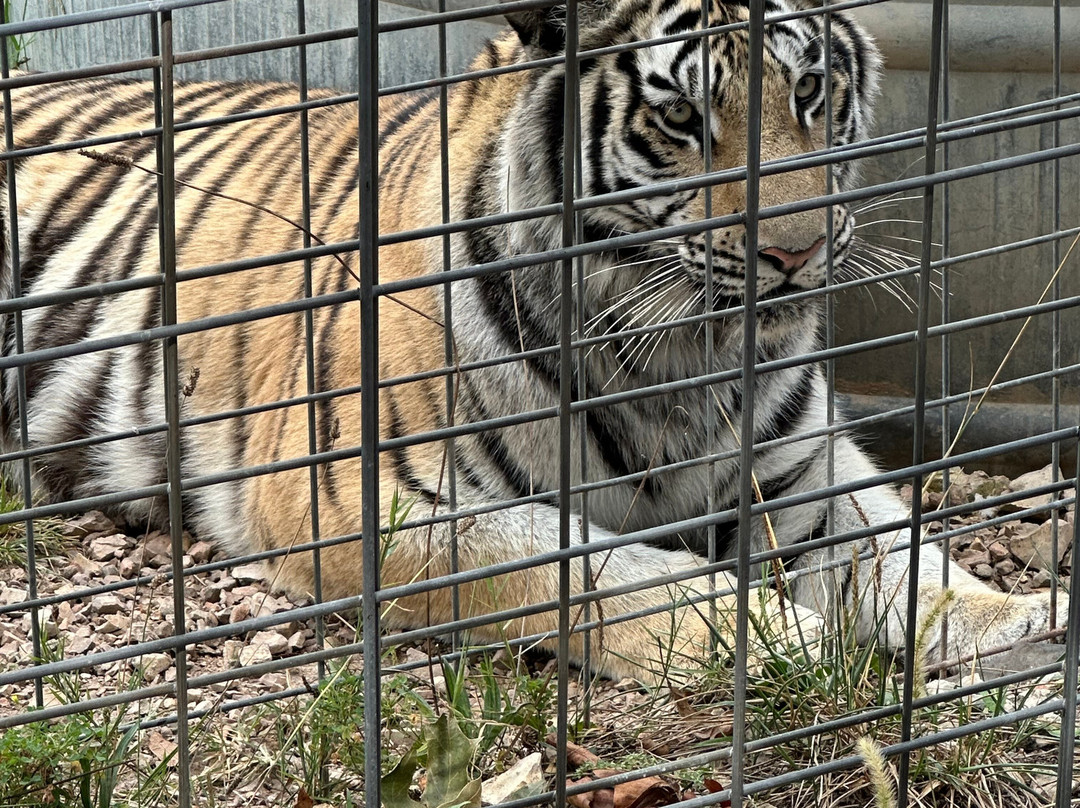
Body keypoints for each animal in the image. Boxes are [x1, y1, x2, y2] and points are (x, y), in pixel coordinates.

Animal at [0, 0, 1062, 682]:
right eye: (683, 117)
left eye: (808, 89)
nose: (797, 252)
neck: (676, 358)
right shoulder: (365, 496)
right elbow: (613, 575)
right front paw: (789, 646)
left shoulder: (800, 478)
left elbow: (909, 556)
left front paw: (1025, 622)